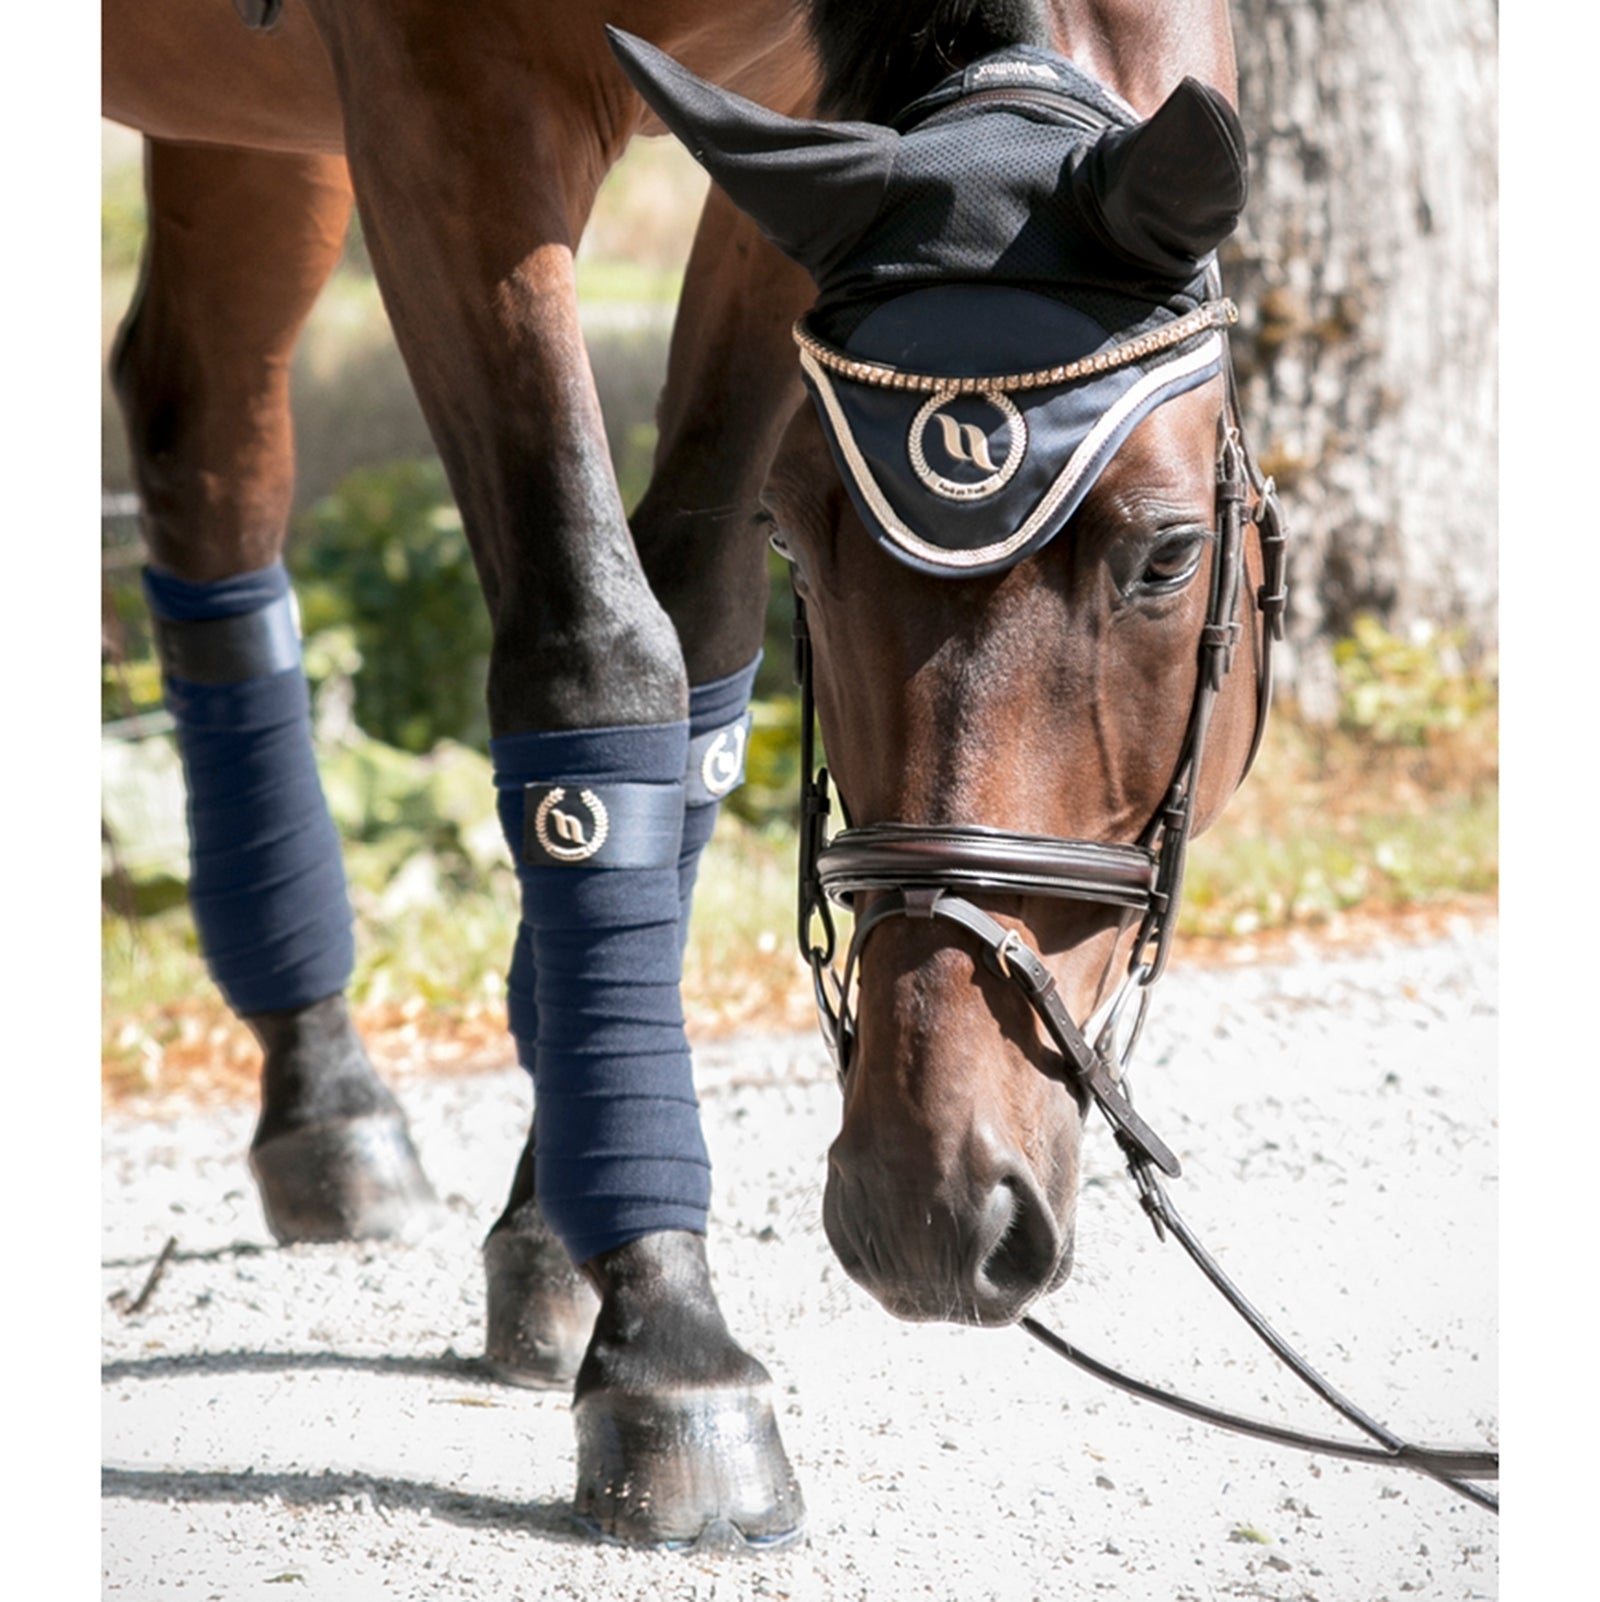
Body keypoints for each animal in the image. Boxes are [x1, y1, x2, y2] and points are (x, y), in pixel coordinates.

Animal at [103, 0, 1275, 1549]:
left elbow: (699, 626)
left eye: (1167, 555)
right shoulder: (448, 105)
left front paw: (558, 1235)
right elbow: (599, 650)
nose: (928, 1206)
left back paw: (325, 1101)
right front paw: (666, 1337)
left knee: (201, 447)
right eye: (813, 545)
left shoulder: (788, 143)